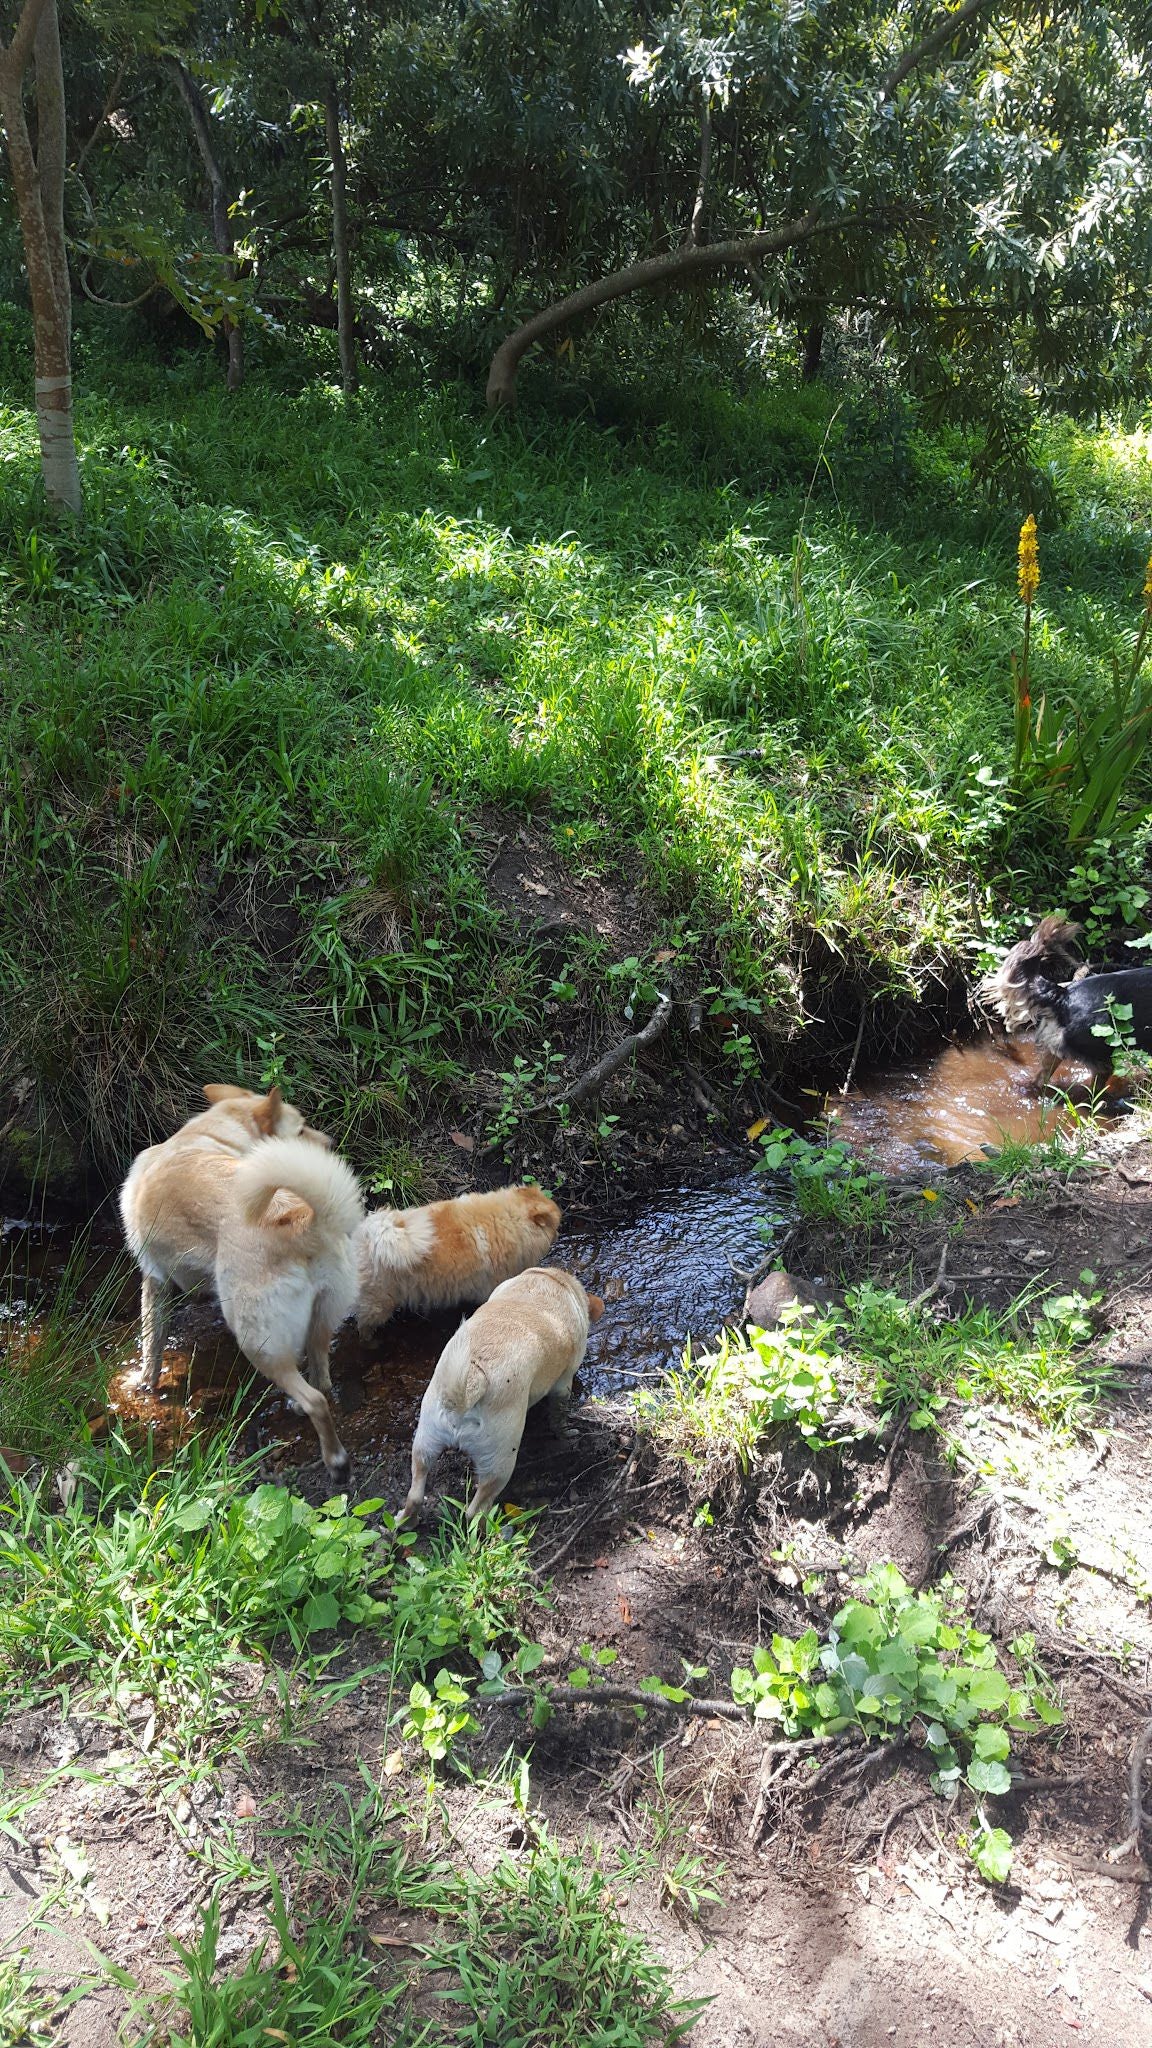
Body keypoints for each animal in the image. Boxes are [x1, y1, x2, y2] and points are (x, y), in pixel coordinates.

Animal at [118, 1081, 360, 1482]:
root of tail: (303, 1220)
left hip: (256, 1342)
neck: (209, 1135)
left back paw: (336, 1461)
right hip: (321, 1320)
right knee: (322, 1381)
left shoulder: (154, 1279)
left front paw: (144, 1385)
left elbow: (151, 1345)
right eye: (301, 1130)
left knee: (316, 1400)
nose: (331, 1142)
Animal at [354, 1187, 561, 1343]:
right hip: (380, 1302)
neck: (509, 1219)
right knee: (364, 1323)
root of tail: (372, 1236)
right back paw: (370, 1340)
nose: (559, 1234)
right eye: (556, 1226)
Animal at [399, 1261, 606, 1523]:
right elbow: (558, 1416)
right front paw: (566, 1433)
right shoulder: (563, 1383)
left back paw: (404, 1521)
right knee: (475, 1510)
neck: (551, 1280)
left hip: (425, 1441)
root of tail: (473, 1382)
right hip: (500, 1462)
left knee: (415, 1492)